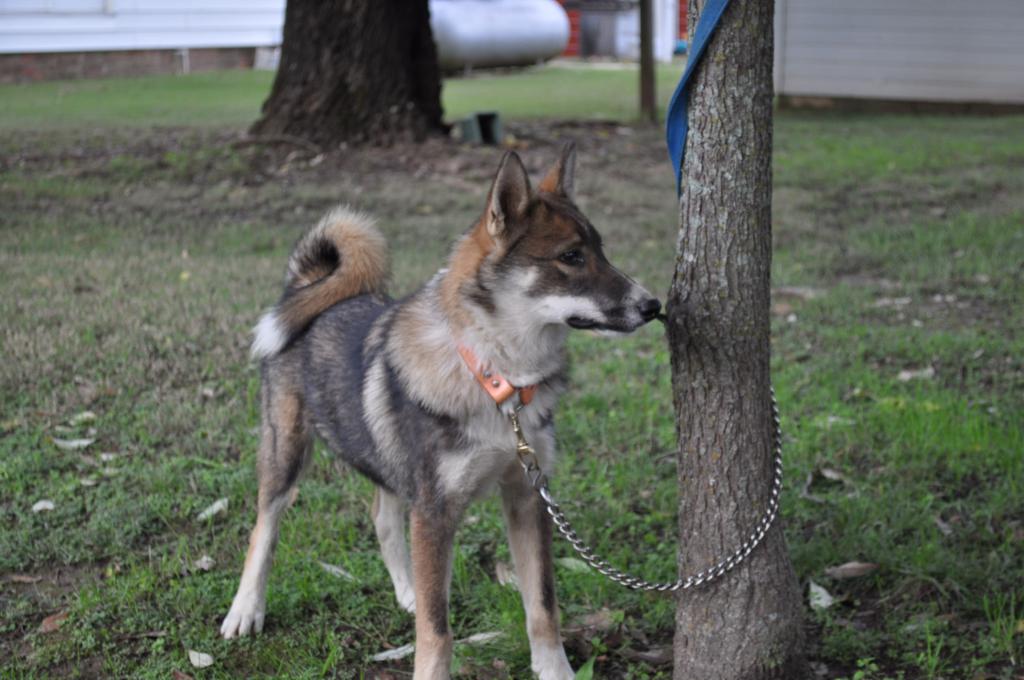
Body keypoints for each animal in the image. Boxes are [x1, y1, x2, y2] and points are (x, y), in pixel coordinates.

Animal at [220, 140, 659, 675]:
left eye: (601, 250)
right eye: (571, 256)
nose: (653, 305)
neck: (495, 378)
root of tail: (309, 286)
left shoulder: (526, 497)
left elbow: (542, 607)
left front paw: (556, 672)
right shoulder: (435, 511)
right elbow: (437, 628)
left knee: (383, 518)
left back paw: (407, 589)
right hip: (286, 451)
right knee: (264, 527)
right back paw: (246, 609)